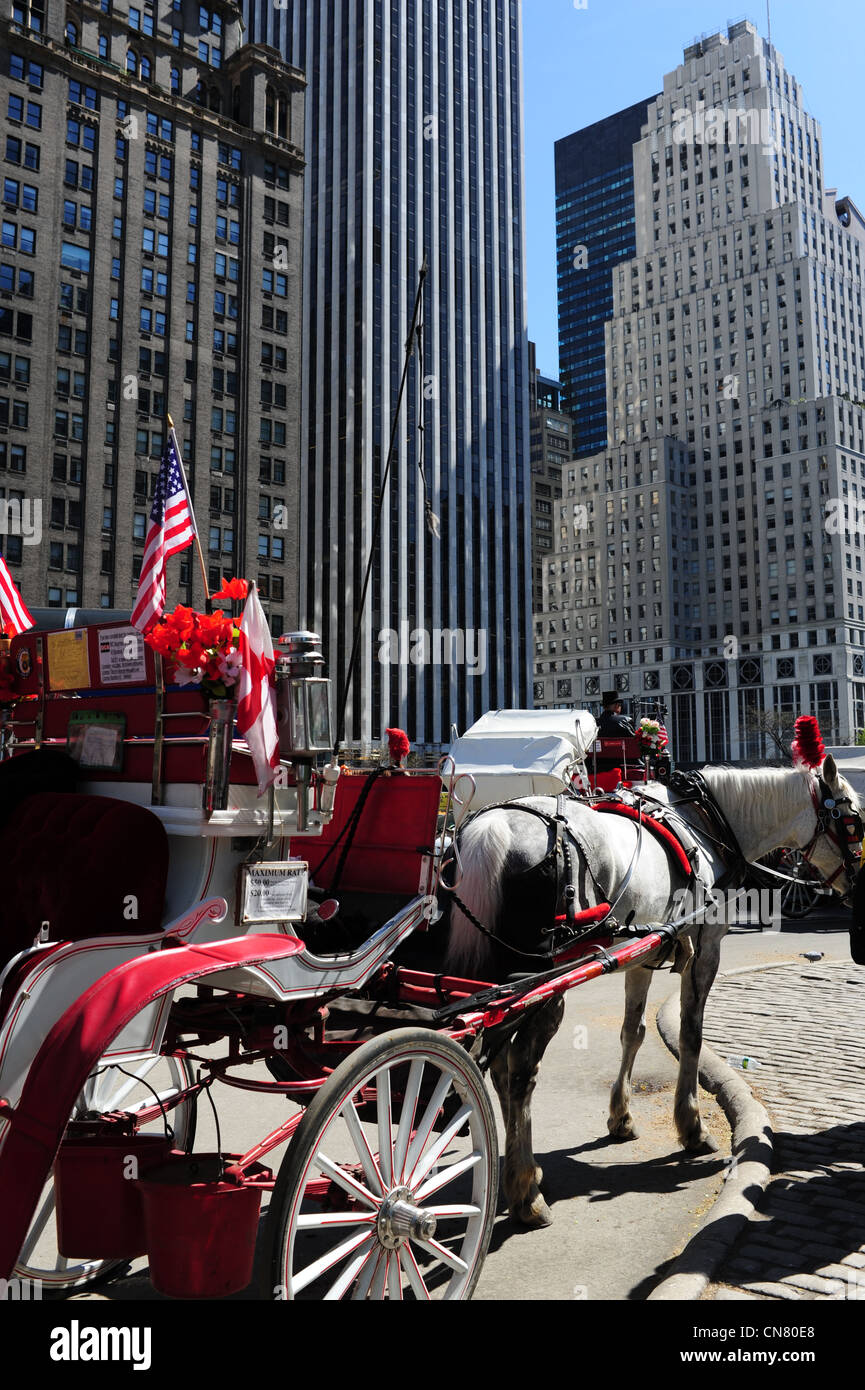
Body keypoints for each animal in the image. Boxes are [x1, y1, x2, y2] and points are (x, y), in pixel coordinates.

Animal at [445, 756, 862, 1223]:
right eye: (854, 820)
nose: (860, 882)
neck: (705, 819)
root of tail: (496, 825)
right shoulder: (706, 949)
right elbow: (691, 1035)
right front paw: (692, 1126)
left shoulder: (641, 957)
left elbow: (633, 1032)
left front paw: (621, 1117)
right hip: (543, 987)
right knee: (519, 1073)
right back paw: (526, 1193)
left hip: (500, 985)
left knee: (498, 1065)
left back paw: (527, 1171)